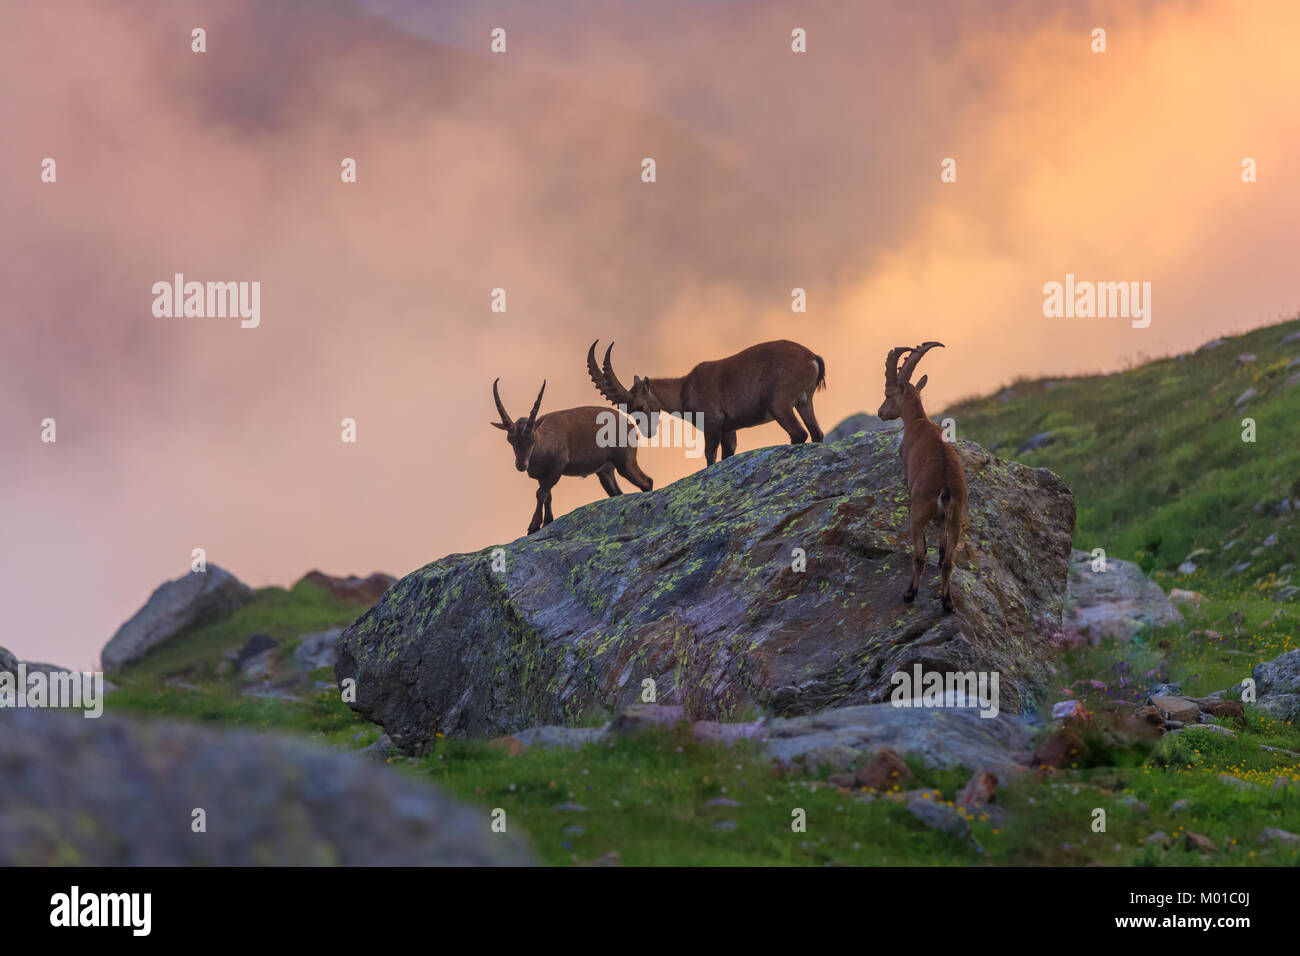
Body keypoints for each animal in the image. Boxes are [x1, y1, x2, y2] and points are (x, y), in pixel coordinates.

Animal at [492, 378, 653, 535]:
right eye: (510, 440)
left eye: (532, 439)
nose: (521, 465)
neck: (544, 441)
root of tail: (632, 427)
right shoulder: (542, 475)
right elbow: (548, 495)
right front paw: (547, 522)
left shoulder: (558, 465)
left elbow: (541, 493)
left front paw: (534, 526)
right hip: (605, 471)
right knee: (617, 493)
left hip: (625, 462)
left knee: (647, 481)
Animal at [586, 339, 826, 465]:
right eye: (626, 409)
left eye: (640, 406)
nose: (647, 432)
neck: (684, 388)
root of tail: (812, 358)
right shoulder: (728, 428)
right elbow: (727, 453)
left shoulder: (712, 422)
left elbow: (710, 456)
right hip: (804, 402)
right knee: (816, 433)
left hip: (779, 403)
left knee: (799, 433)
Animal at [876, 342, 968, 613]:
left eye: (887, 393)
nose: (880, 412)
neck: (918, 421)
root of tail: (945, 489)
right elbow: (941, 546)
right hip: (957, 517)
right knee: (948, 561)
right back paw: (947, 603)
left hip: (918, 513)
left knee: (918, 556)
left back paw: (909, 594)